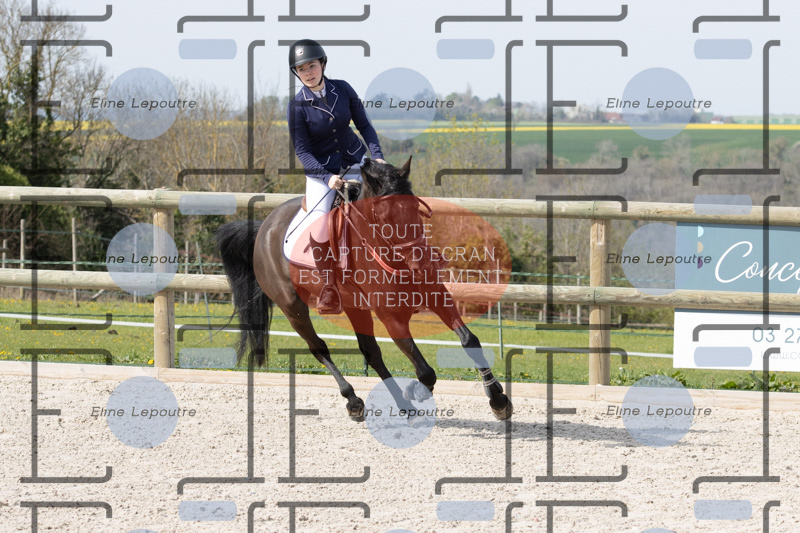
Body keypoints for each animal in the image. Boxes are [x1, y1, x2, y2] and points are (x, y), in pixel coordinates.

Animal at [215, 157, 513, 421]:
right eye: (384, 216)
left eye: (415, 210)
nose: (423, 261)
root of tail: (265, 226)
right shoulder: (390, 316)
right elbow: (426, 371)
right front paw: (415, 390)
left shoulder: (436, 295)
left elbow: (469, 340)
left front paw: (498, 399)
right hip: (292, 307)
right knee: (320, 349)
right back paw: (354, 401)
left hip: (354, 307)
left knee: (371, 352)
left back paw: (403, 406)